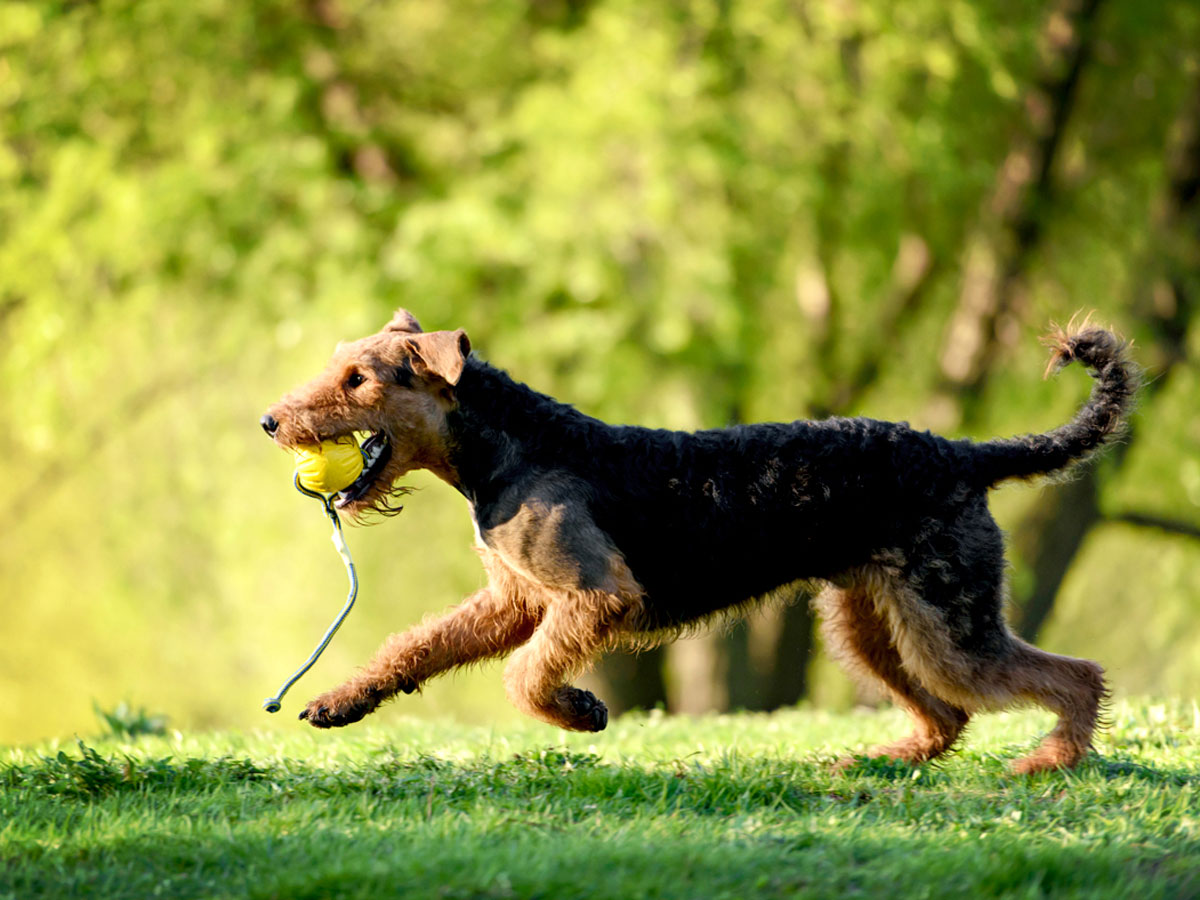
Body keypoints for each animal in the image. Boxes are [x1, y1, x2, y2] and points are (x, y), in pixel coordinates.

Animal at [262, 309, 1132, 777]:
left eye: (359, 380)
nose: (272, 421)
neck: (503, 447)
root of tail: (964, 453)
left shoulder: (596, 594)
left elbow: (524, 677)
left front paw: (581, 712)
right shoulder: (516, 598)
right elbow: (417, 646)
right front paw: (340, 702)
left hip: (950, 626)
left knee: (1076, 676)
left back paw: (1048, 764)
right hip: (869, 624)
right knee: (947, 716)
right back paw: (876, 762)